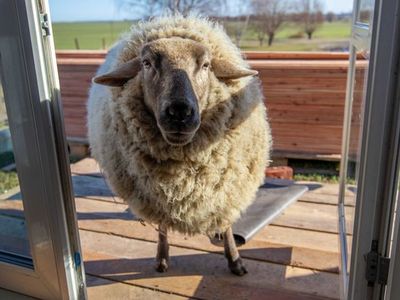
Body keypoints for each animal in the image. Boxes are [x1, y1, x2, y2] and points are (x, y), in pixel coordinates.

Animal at [87, 15, 272, 276]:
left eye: (206, 65)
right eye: (146, 63)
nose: (179, 112)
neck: (184, 179)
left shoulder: (228, 189)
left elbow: (226, 223)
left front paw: (235, 260)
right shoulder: (159, 197)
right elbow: (163, 225)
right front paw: (162, 258)